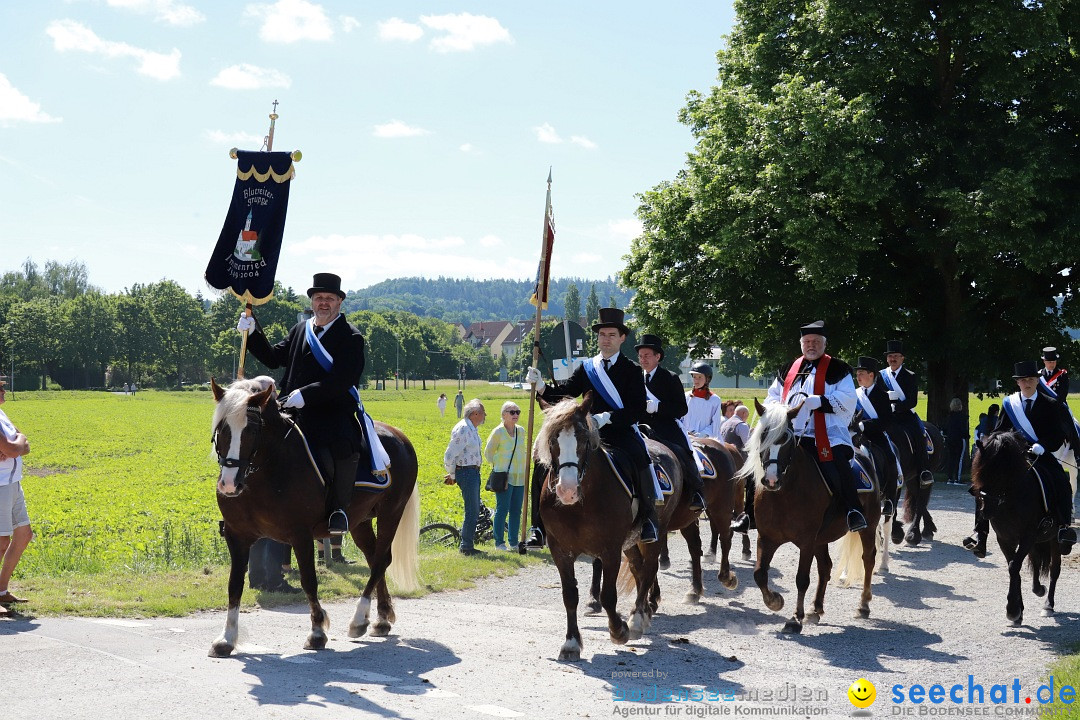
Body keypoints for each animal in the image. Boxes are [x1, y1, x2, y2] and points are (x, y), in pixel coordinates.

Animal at [208, 377, 419, 660]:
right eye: (222, 429)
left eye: (252, 430)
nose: (229, 485)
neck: (266, 471)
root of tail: (400, 435)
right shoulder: (237, 535)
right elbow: (234, 584)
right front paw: (227, 638)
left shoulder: (300, 535)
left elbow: (309, 580)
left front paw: (317, 632)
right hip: (361, 521)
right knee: (377, 558)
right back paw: (381, 619)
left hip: (391, 512)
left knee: (379, 561)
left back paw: (358, 619)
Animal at [537, 390, 686, 660]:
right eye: (552, 440)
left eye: (584, 439)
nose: (566, 490)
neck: (580, 504)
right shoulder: (560, 550)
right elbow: (569, 595)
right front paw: (571, 643)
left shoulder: (610, 550)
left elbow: (607, 595)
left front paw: (619, 630)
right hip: (631, 541)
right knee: (639, 568)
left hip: (656, 533)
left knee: (649, 569)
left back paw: (637, 618)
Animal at [743, 403, 885, 634]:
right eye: (763, 435)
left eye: (787, 439)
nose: (771, 480)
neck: (785, 493)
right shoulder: (766, 538)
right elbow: (759, 574)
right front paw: (775, 601)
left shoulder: (806, 541)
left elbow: (802, 579)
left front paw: (794, 618)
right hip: (821, 538)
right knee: (825, 566)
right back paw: (815, 608)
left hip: (868, 527)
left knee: (868, 559)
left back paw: (863, 605)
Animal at [972, 431, 1062, 626]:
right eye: (979, 472)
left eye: (1000, 474)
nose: (986, 510)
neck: (1010, 500)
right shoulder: (1005, 538)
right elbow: (1014, 567)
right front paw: (1018, 612)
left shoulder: (1028, 536)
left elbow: (1014, 567)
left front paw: (1012, 610)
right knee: (1035, 561)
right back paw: (1038, 589)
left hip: (1053, 539)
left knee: (1054, 569)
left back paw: (1048, 605)